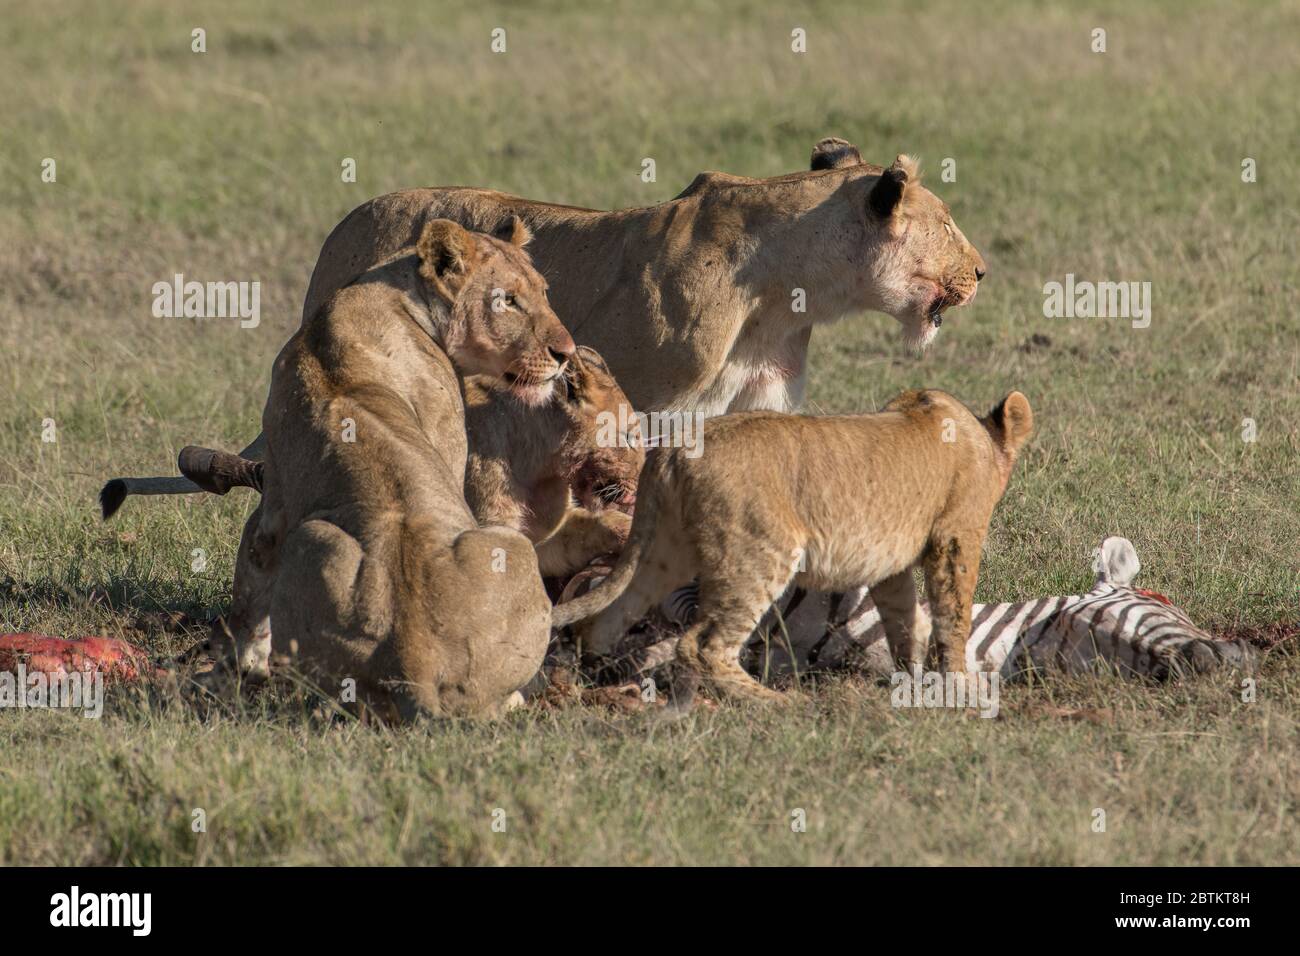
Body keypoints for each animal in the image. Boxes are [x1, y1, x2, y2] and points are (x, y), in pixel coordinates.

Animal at [221, 216, 576, 719]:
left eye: (544, 293)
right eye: (507, 300)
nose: (566, 353)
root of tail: (416, 664)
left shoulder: (277, 493)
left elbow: (254, 556)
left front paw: (248, 663)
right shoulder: (449, 435)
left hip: (316, 538)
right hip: (514, 547)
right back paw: (517, 698)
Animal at [550, 389, 1033, 703]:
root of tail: (675, 448)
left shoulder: (890, 566)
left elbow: (904, 620)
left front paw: (912, 677)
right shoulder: (955, 535)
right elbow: (952, 615)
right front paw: (957, 686)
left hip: (662, 551)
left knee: (605, 619)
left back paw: (592, 684)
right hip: (761, 553)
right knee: (702, 645)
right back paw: (775, 703)